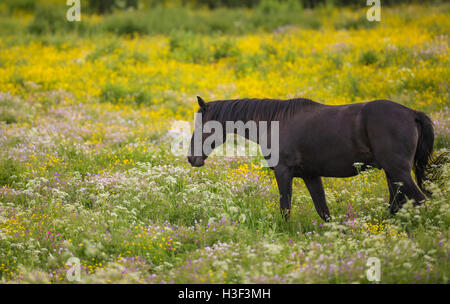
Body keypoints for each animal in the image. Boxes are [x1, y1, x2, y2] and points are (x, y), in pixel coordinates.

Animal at [186, 97, 432, 221]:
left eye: (204, 125)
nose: (191, 158)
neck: (274, 121)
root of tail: (412, 113)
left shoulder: (283, 172)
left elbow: (285, 209)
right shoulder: (310, 176)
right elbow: (323, 211)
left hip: (398, 171)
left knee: (419, 200)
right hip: (392, 174)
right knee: (397, 204)